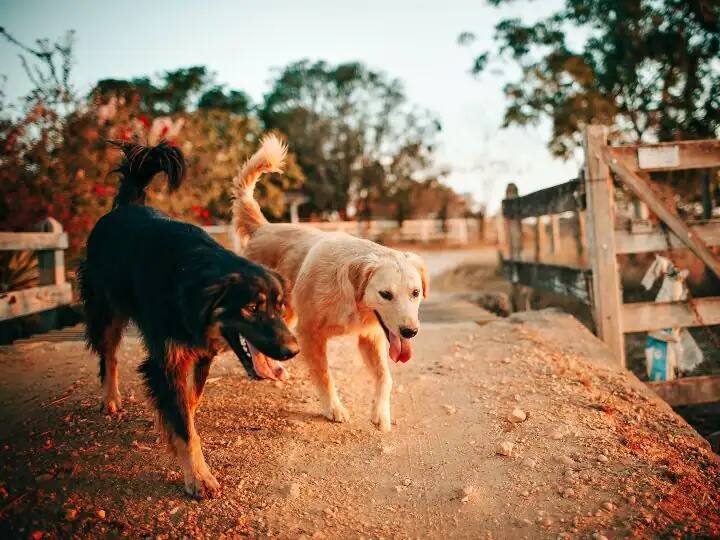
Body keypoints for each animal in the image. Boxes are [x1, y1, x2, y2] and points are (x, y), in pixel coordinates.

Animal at [80, 140, 300, 498]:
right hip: (105, 310)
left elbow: (189, 404)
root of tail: (126, 206)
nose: (293, 351)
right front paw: (198, 475)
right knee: (108, 356)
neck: (193, 283)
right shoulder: (165, 360)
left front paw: (171, 429)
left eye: (280, 307)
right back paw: (110, 398)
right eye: (251, 308)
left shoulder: (201, 355)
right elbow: (184, 423)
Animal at [232, 135, 428, 430]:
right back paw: (264, 368)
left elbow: (386, 377)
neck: (351, 299)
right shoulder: (310, 334)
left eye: (415, 293)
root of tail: (263, 227)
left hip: (287, 312)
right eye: (385, 294)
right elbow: (324, 375)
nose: (410, 332)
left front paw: (381, 413)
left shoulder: (370, 337)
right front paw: (333, 407)